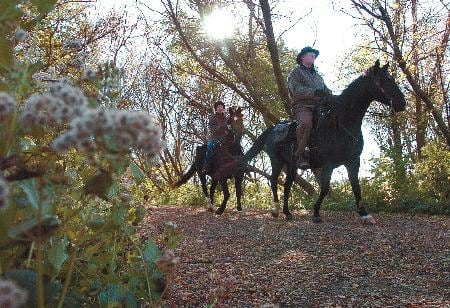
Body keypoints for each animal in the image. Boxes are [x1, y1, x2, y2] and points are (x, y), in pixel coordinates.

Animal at [220, 60, 406, 223]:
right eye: (384, 80)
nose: (402, 103)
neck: (342, 122)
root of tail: (273, 128)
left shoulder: (353, 161)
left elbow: (356, 187)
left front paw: (364, 214)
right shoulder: (329, 163)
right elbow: (325, 188)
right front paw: (316, 213)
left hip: (291, 165)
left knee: (287, 184)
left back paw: (287, 212)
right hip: (276, 160)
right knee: (273, 180)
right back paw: (276, 210)